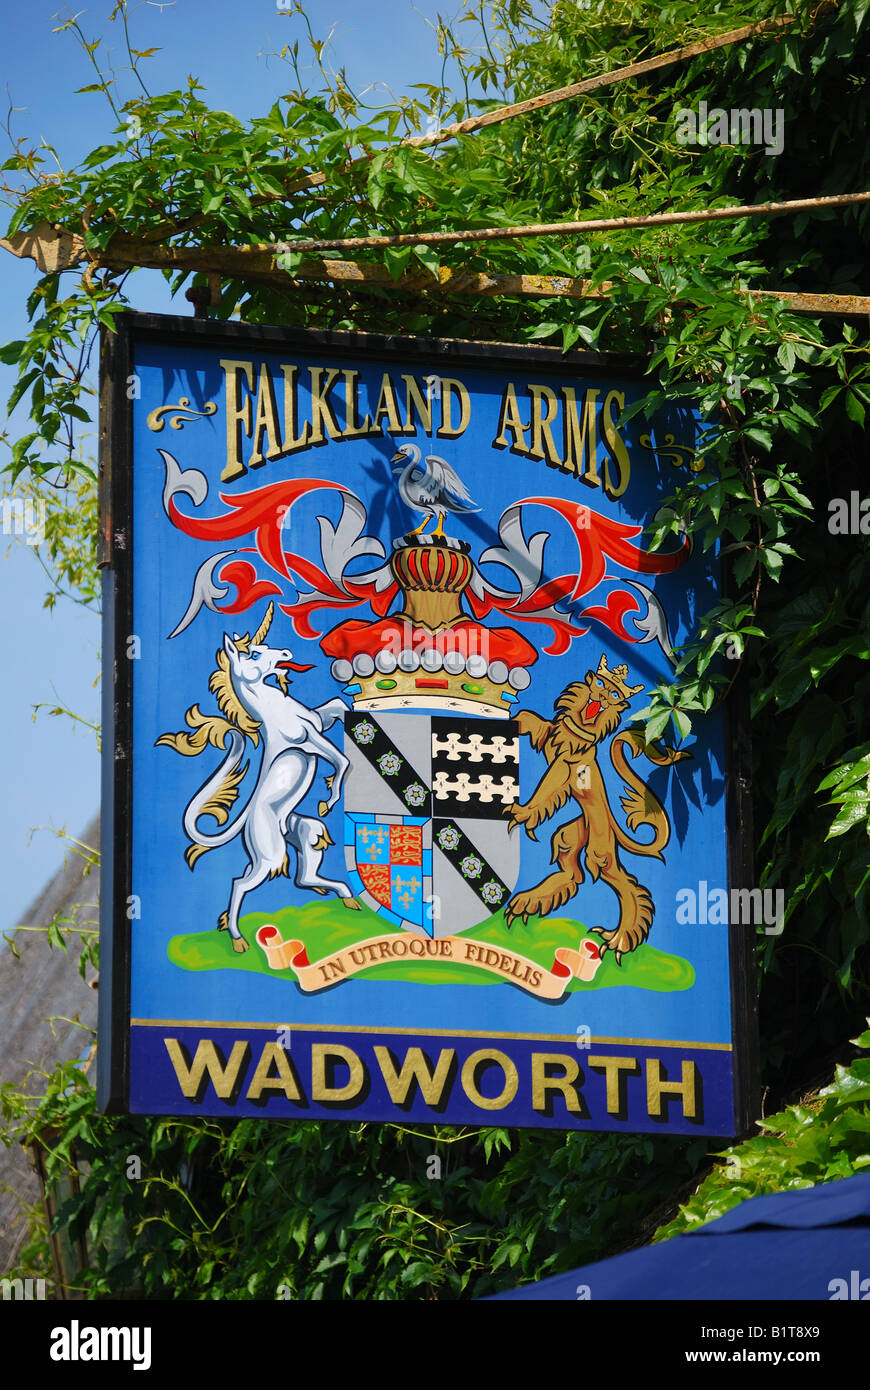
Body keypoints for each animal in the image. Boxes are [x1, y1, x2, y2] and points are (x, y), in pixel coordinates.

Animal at [505, 656, 686, 961]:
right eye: (600, 685)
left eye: (613, 695)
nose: (600, 697)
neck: (580, 726)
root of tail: (613, 826)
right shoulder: (551, 737)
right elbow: (532, 720)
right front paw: (509, 721)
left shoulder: (565, 767)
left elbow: (547, 789)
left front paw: (522, 812)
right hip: (571, 834)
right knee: (573, 873)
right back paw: (531, 899)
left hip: (599, 853)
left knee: (627, 886)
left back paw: (619, 939)